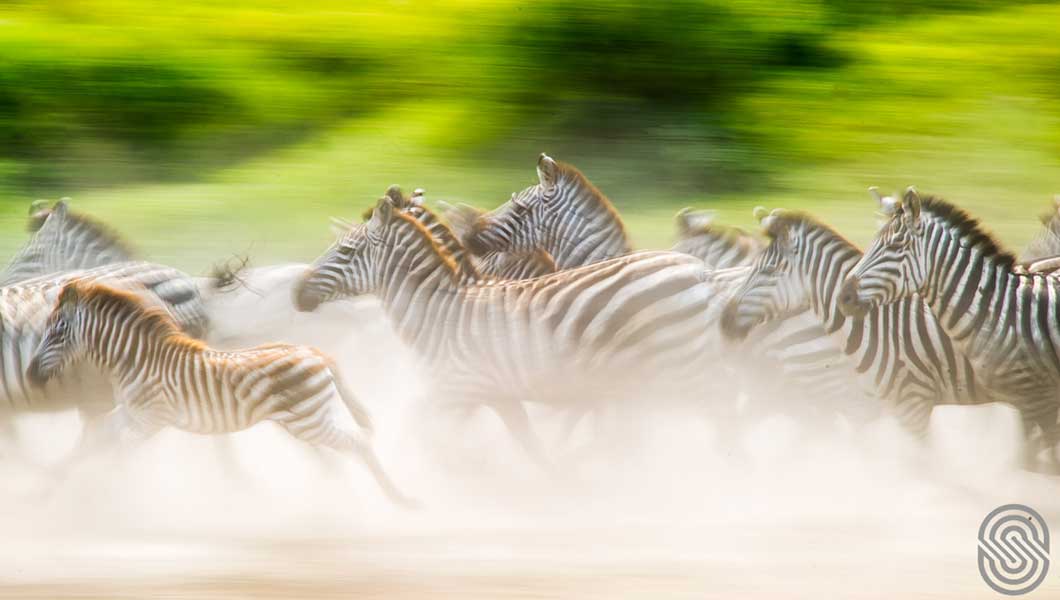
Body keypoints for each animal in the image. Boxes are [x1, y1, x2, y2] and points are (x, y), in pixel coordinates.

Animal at [24, 281, 413, 508]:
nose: (30, 374)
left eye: (57, 330)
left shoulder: (152, 419)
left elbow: (117, 452)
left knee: (357, 443)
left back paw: (399, 500)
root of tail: (317, 353)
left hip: (311, 420)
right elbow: (91, 442)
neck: (137, 360)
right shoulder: (130, 413)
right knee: (343, 450)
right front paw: (47, 489)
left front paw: (110, 494)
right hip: (310, 418)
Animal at [290, 192, 737, 470]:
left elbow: (418, 434)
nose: (297, 291)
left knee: (720, 418)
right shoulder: (499, 395)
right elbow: (530, 445)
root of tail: (701, 271)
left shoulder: (456, 390)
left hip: (678, 366)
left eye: (346, 251)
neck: (438, 312)